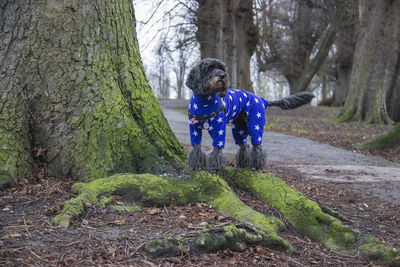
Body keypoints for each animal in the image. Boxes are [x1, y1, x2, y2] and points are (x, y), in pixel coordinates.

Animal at [186, 57, 314, 173]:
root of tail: (261, 100)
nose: (223, 75)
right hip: (239, 129)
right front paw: (197, 165)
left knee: (258, 147)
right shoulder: (194, 129)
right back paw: (242, 164)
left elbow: (217, 149)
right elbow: (196, 147)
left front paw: (214, 168)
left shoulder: (219, 129)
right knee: (244, 146)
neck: (204, 102)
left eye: (222, 68)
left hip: (255, 126)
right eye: (209, 68)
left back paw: (257, 166)